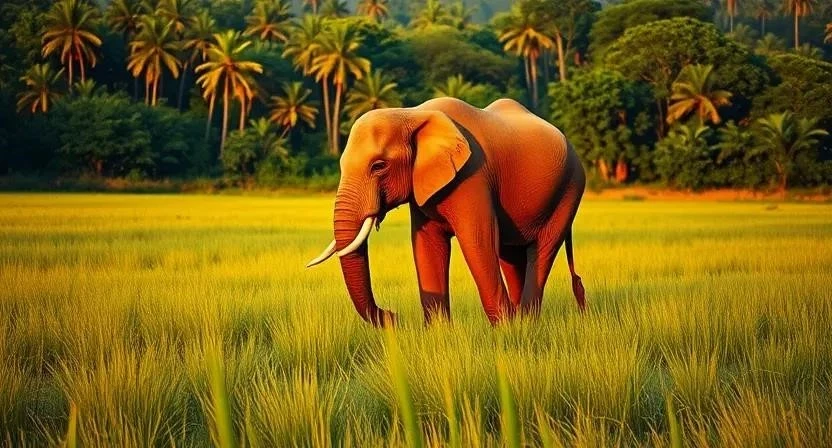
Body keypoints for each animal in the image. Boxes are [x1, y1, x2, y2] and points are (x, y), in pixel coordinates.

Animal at [307, 97, 586, 326]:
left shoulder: (473, 176)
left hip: (570, 189)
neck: (412, 114)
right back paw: (522, 321)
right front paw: (439, 333)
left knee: (542, 249)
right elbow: (426, 245)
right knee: (511, 255)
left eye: (379, 166)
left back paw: (525, 324)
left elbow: (478, 241)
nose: (393, 315)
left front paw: (504, 333)